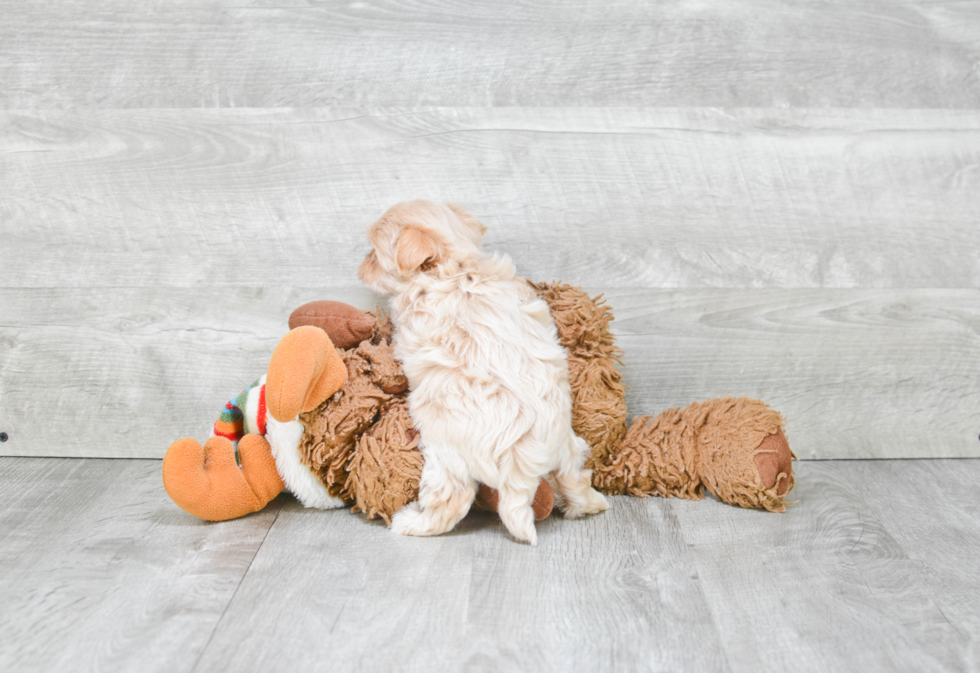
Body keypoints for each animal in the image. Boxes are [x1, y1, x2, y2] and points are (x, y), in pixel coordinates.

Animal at [356, 201, 608, 544]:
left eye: (374, 254)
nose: (360, 267)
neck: (456, 265)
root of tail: (522, 460)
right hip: (569, 446)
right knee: (574, 477)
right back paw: (592, 504)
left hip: (445, 454)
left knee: (451, 500)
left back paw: (410, 523)